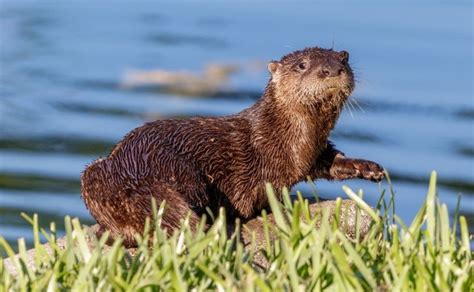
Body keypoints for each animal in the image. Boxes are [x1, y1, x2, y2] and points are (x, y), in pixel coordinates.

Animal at [82, 46, 386, 246]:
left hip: (93, 174)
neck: (289, 139)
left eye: (343, 60)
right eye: (302, 64)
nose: (332, 70)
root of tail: (132, 176)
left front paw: (368, 168)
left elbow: (331, 161)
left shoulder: (314, 153)